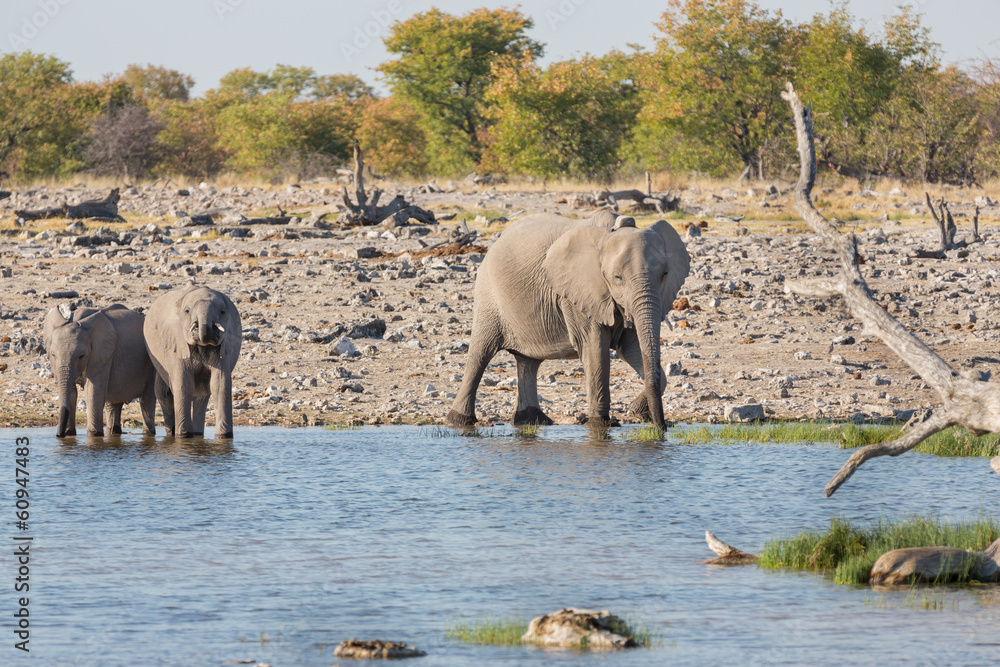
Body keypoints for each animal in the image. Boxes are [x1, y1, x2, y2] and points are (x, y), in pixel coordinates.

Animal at [42, 304, 156, 437]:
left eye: (81, 356)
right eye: (53, 355)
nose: (59, 435)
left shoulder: (102, 353)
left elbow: (92, 391)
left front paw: (94, 434)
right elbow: (72, 391)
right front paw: (70, 434)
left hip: (152, 360)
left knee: (147, 399)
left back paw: (148, 434)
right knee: (113, 403)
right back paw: (113, 432)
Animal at [144, 285, 242, 438]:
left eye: (222, 312)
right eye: (187, 311)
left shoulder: (225, 347)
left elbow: (220, 384)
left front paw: (224, 437)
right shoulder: (177, 342)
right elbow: (184, 385)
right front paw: (183, 436)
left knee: (202, 395)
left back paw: (197, 434)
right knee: (164, 392)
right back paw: (175, 432)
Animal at [446, 210, 690, 429]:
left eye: (665, 274)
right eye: (617, 277)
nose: (662, 428)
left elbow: (632, 346)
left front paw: (636, 410)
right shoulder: (577, 293)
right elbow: (595, 349)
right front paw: (601, 424)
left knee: (528, 361)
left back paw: (532, 420)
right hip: (488, 294)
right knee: (481, 352)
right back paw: (460, 421)